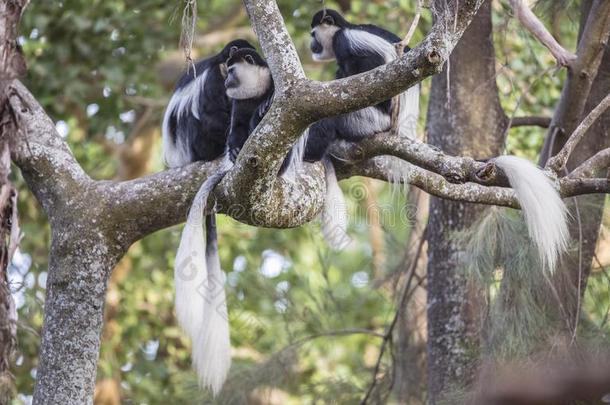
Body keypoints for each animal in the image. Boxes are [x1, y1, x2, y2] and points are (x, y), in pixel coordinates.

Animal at [306, 8, 568, 268]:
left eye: (313, 34)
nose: (311, 46)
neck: (343, 29)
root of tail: (401, 131)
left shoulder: (347, 42)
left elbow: (369, 72)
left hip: (368, 121)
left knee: (332, 118)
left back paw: (311, 154)